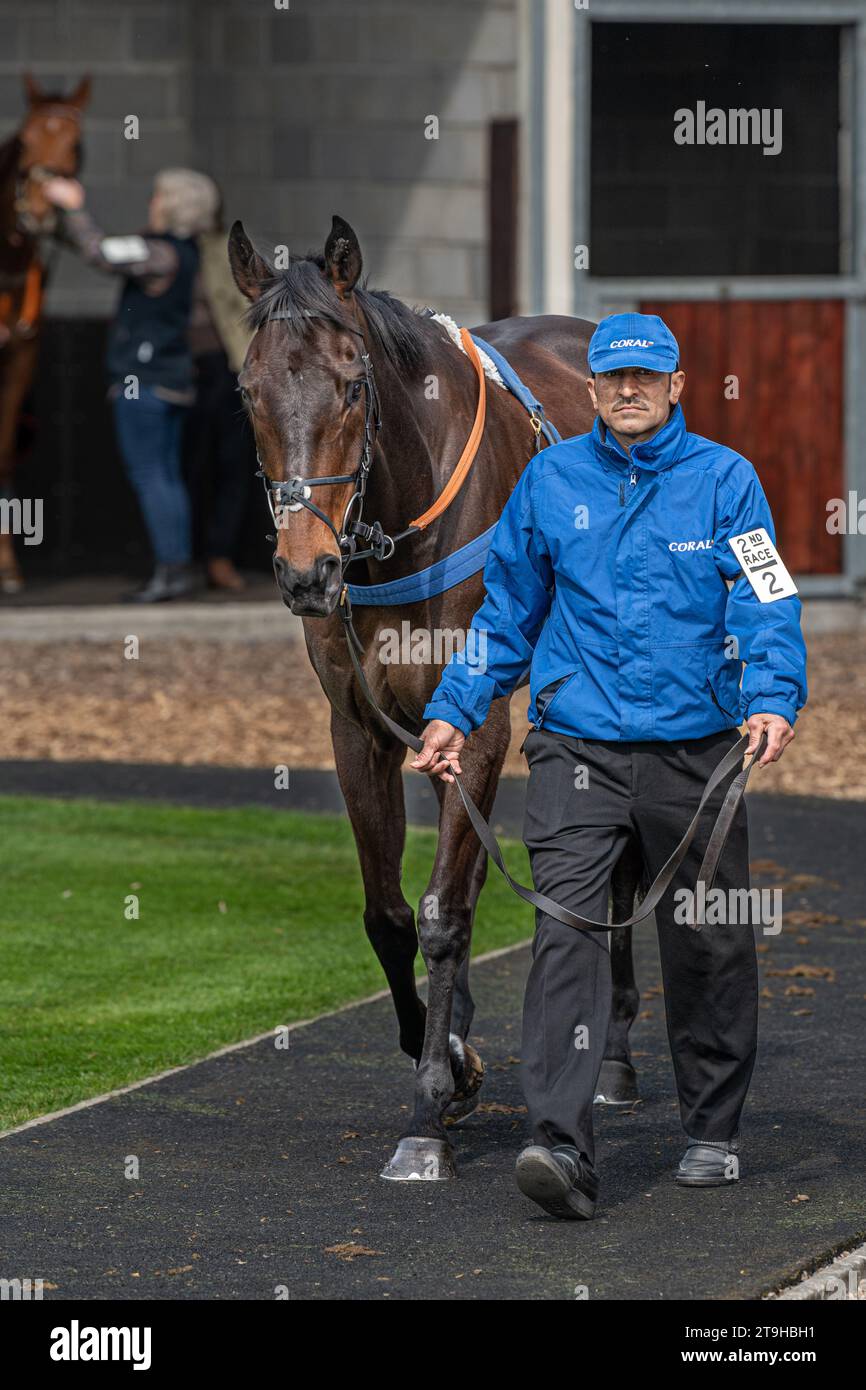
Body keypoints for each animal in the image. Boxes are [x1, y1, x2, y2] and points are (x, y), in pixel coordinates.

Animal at [229, 211, 644, 1178]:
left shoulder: (482, 722)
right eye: (248, 391)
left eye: (352, 386)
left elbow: (445, 912)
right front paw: (449, 1056)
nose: (306, 572)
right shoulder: (360, 729)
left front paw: (426, 1111)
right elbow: (389, 914)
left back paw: (615, 1057)